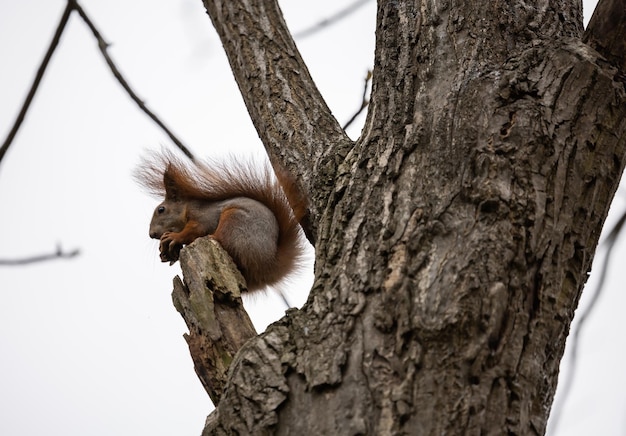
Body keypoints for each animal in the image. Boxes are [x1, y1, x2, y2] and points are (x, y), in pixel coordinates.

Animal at [135, 152, 306, 292]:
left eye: (161, 209)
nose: (151, 234)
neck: (186, 208)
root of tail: (270, 263)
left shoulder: (204, 216)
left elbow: (196, 229)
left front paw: (174, 238)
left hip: (235, 223)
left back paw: (213, 238)